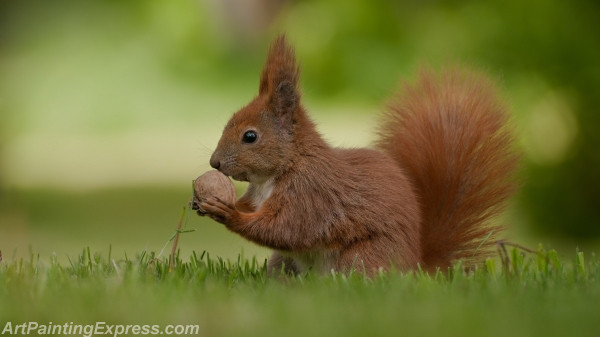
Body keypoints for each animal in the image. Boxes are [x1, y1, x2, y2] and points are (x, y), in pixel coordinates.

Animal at [198, 34, 520, 276]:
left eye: (250, 136)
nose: (215, 162)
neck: (281, 169)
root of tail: (416, 266)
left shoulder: (311, 195)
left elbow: (285, 229)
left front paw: (228, 214)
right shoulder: (259, 195)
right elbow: (253, 209)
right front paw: (208, 202)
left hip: (362, 258)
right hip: (284, 263)